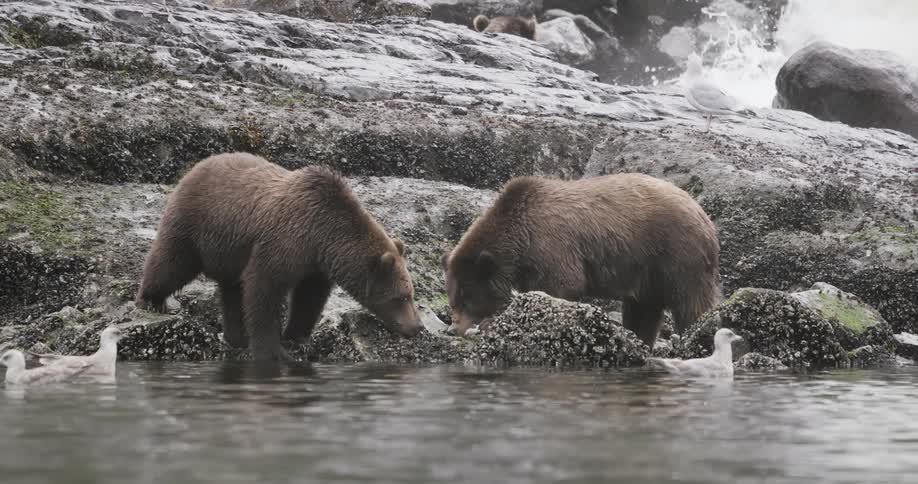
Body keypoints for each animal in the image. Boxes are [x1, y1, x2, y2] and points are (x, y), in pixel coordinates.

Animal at [135, 153, 423, 361]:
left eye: (411, 294)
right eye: (401, 297)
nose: (417, 327)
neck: (324, 236)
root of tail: (198, 165)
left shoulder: (316, 266)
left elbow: (309, 298)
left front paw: (298, 337)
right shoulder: (284, 242)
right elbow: (264, 290)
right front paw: (273, 350)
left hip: (230, 252)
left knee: (231, 292)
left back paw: (235, 337)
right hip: (195, 225)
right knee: (172, 262)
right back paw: (152, 300)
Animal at [441, 173, 721, 347]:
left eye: (466, 298)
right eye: (453, 298)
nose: (452, 329)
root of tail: (704, 216)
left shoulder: (553, 246)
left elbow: (562, 285)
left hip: (677, 255)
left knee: (691, 303)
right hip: (647, 274)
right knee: (643, 310)